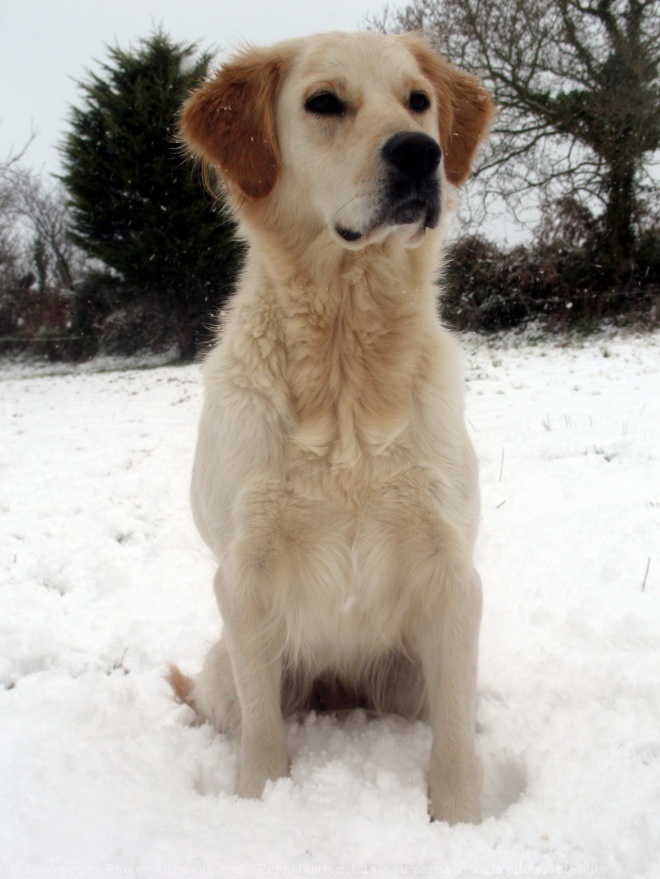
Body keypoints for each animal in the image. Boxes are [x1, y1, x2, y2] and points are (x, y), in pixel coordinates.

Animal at [170, 29, 496, 824]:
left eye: (419, 100)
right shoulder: (244, 576)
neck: (347, 355)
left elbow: (455, 737)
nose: (419, 153)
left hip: (406, 676)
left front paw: (459, 821)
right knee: (223, 702)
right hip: (228, 666)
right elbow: (263, 730)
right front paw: (260, 803)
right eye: (324, 102)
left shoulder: (451, 571)